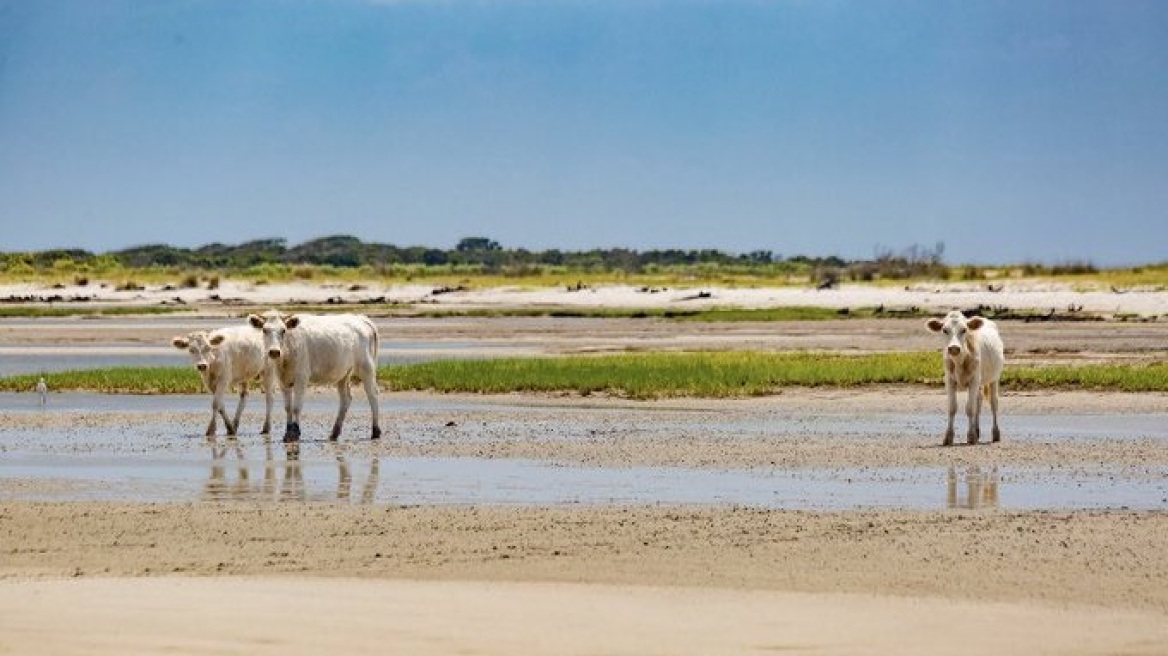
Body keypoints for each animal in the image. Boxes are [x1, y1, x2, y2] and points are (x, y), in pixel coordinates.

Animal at [248, 310, 380, 441]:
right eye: (264, 330)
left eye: (283, 330)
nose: (274, 352)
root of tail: (361, 318)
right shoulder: (283, 380)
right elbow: (288, 407)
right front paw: (287, 432)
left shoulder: (302, 377)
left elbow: (296, 406)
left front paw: (295, 432)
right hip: (343, 374)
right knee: (346, 399)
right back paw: (334, 433)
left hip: (366, 367)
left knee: (373, 396)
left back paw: (375, 431)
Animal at [929, 310, 1004, 443]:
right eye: (944, 330)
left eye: (964, 330)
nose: (954, 348)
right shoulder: (949, 381)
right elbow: (952, 408)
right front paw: (948, 437)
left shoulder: (974, 380)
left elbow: (970, 408)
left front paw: (971, 436)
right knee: (978, 401)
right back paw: (977, 430)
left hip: (994, 378)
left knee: (994, 403)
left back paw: (995, 433)